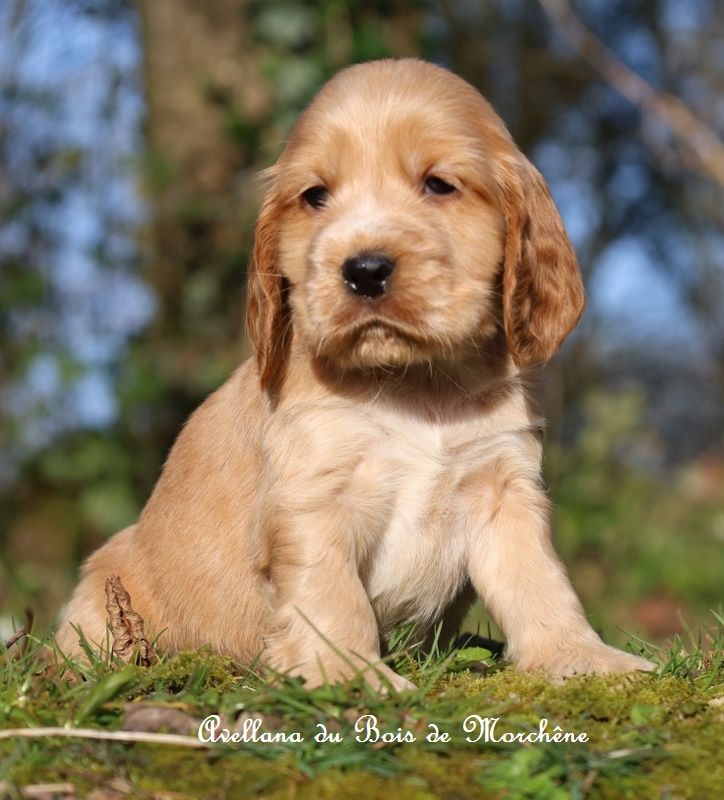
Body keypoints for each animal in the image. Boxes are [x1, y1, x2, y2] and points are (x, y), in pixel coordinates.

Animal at [57, 59, 653, 689]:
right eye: (315, 196)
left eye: (439, 184)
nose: (364, 270)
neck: (416, 386)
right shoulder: (313, 494)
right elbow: (331, 594)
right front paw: (347, 673)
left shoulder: (502, 485)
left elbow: (539, 580)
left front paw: (580, 656)